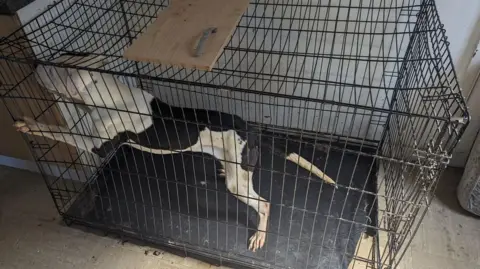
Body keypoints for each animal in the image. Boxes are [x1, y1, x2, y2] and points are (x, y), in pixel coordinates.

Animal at [12, 53, 334, 250]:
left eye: (54, 67)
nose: (32, 62)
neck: (107, 96)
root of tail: (251, 129)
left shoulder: (96, 144)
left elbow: (57, 131)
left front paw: (30, 125)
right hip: (230, 163)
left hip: (238, 182)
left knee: (264, 204)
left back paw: (259, 234)